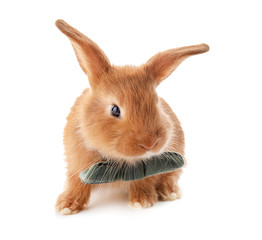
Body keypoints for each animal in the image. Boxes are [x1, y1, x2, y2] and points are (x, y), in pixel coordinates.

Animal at [54, 19, 209, 215]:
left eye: (156, 102)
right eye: (115, 110)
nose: (150, 143)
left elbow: (144, 181)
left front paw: (143, 201)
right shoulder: (77, 165)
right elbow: (77, 184)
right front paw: (66, 205)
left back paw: (170, 192)